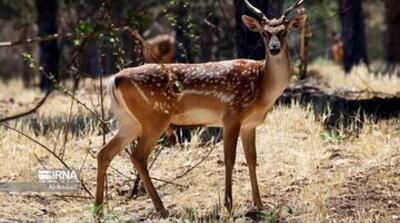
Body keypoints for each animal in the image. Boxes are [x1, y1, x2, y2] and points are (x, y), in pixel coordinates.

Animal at [94, 0, 306, 217]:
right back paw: (162, 208)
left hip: (129, 122)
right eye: (264, 33)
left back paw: (98, 209)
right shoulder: (232, 115)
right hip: (154, 117)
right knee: (138, 156)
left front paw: (259, 204)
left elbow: (252, 159)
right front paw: (228, 205)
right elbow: (229, 158)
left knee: (104, 153)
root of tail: (114, 80)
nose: (274, 48)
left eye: (284, 31)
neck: (262, 87)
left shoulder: (250, 124)